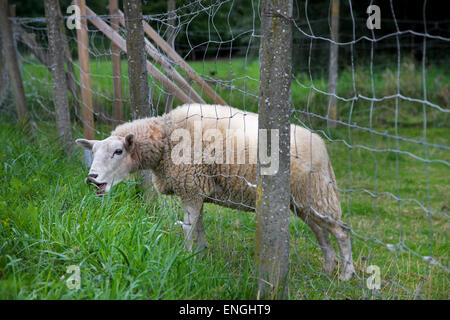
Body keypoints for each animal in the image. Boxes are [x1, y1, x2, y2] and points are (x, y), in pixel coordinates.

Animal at [75, 104, 356, 280]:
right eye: (94, 151)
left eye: (118, 151)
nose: (92, 178)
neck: (165, 137)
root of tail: (322, 145)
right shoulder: (196, 191)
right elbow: (198, 227)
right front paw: (200, 256)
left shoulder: (191, 188)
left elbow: (188, 229)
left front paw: (186, 258)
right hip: (302, 201)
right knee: (321, 232)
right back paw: (328, 267)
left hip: (317, 195)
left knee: (341, 231)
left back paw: (346, 274)